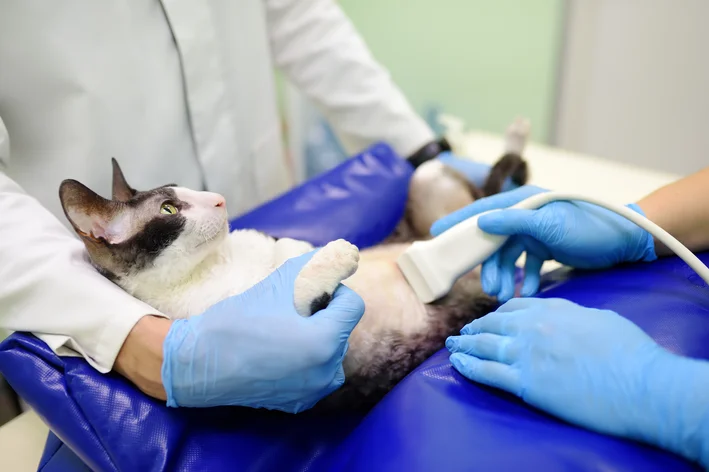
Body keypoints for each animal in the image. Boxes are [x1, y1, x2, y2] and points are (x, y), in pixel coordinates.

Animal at [58, 117, 528, 410]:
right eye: (170, 209)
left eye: (187, 191)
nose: (219, 199)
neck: (221, 261)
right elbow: (300, 286)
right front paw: (334, 255)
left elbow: (286, 247)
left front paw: (296, 248)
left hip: (431, 184)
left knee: (492, 190)